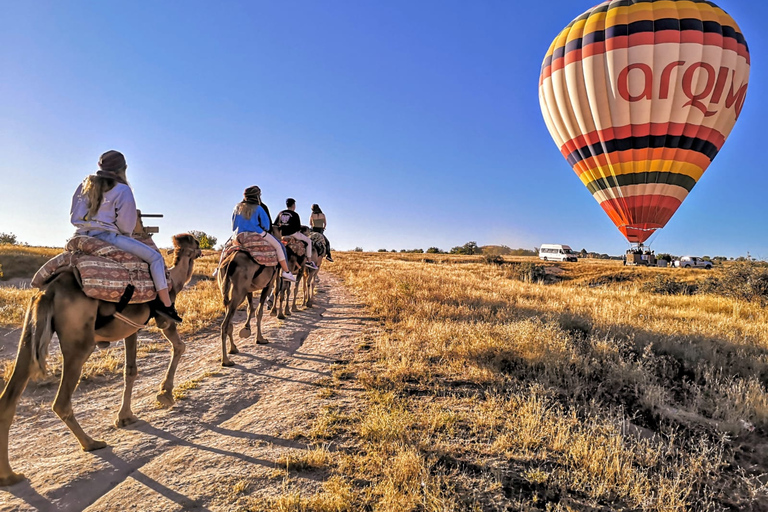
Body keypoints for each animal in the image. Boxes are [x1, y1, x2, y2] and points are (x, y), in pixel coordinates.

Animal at [0, 233, 201, 486]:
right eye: (195, 244)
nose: (200, 249)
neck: (174, 279)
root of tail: (49, 291)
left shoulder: (131, 328)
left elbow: (130, 370)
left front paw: (125, 417)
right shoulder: (163, 319)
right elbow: (179, 346)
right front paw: (164, 394)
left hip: (31, 330)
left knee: (10, 395)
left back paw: (9, 475)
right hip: (79, 343)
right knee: (61, 401)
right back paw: (91, 443)